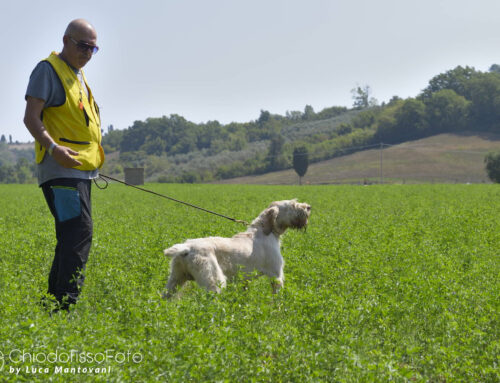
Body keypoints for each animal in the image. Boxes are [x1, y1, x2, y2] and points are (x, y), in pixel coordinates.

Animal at [164, 200, 310, 298]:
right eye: (292, 205)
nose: (309, 207)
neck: (266, 231)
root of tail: (186, 248)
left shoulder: (245, 280)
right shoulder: (276, 276)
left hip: (176, 280)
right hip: (215, 282)